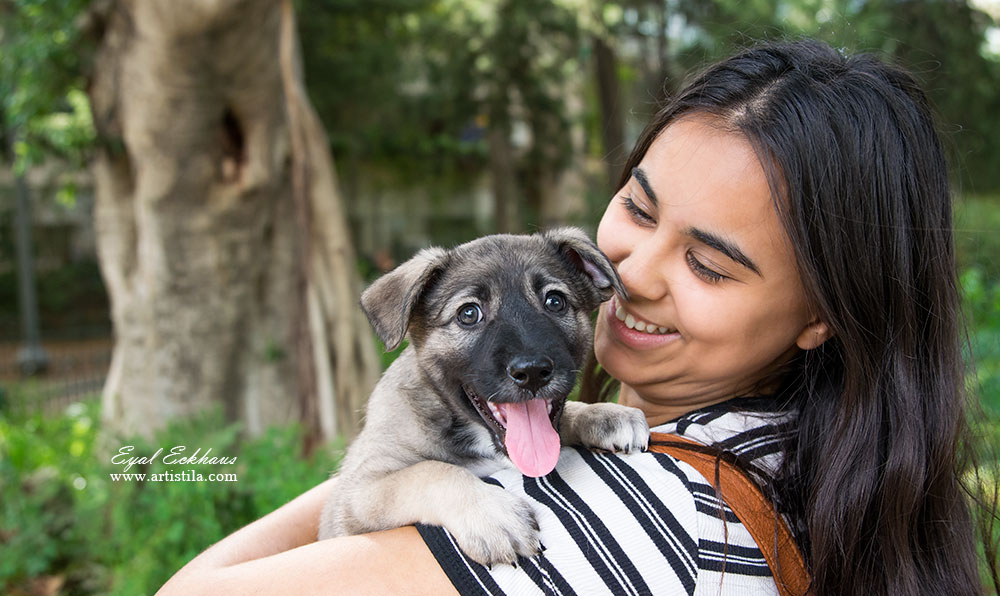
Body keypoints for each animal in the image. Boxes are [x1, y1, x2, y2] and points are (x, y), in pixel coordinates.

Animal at [320, 227, 648, 564]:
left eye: (555, 301)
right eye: (468, 313)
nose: (532, 371)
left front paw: (605, 414)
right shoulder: (356, 493)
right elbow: (430, 471)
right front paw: (493, 515)